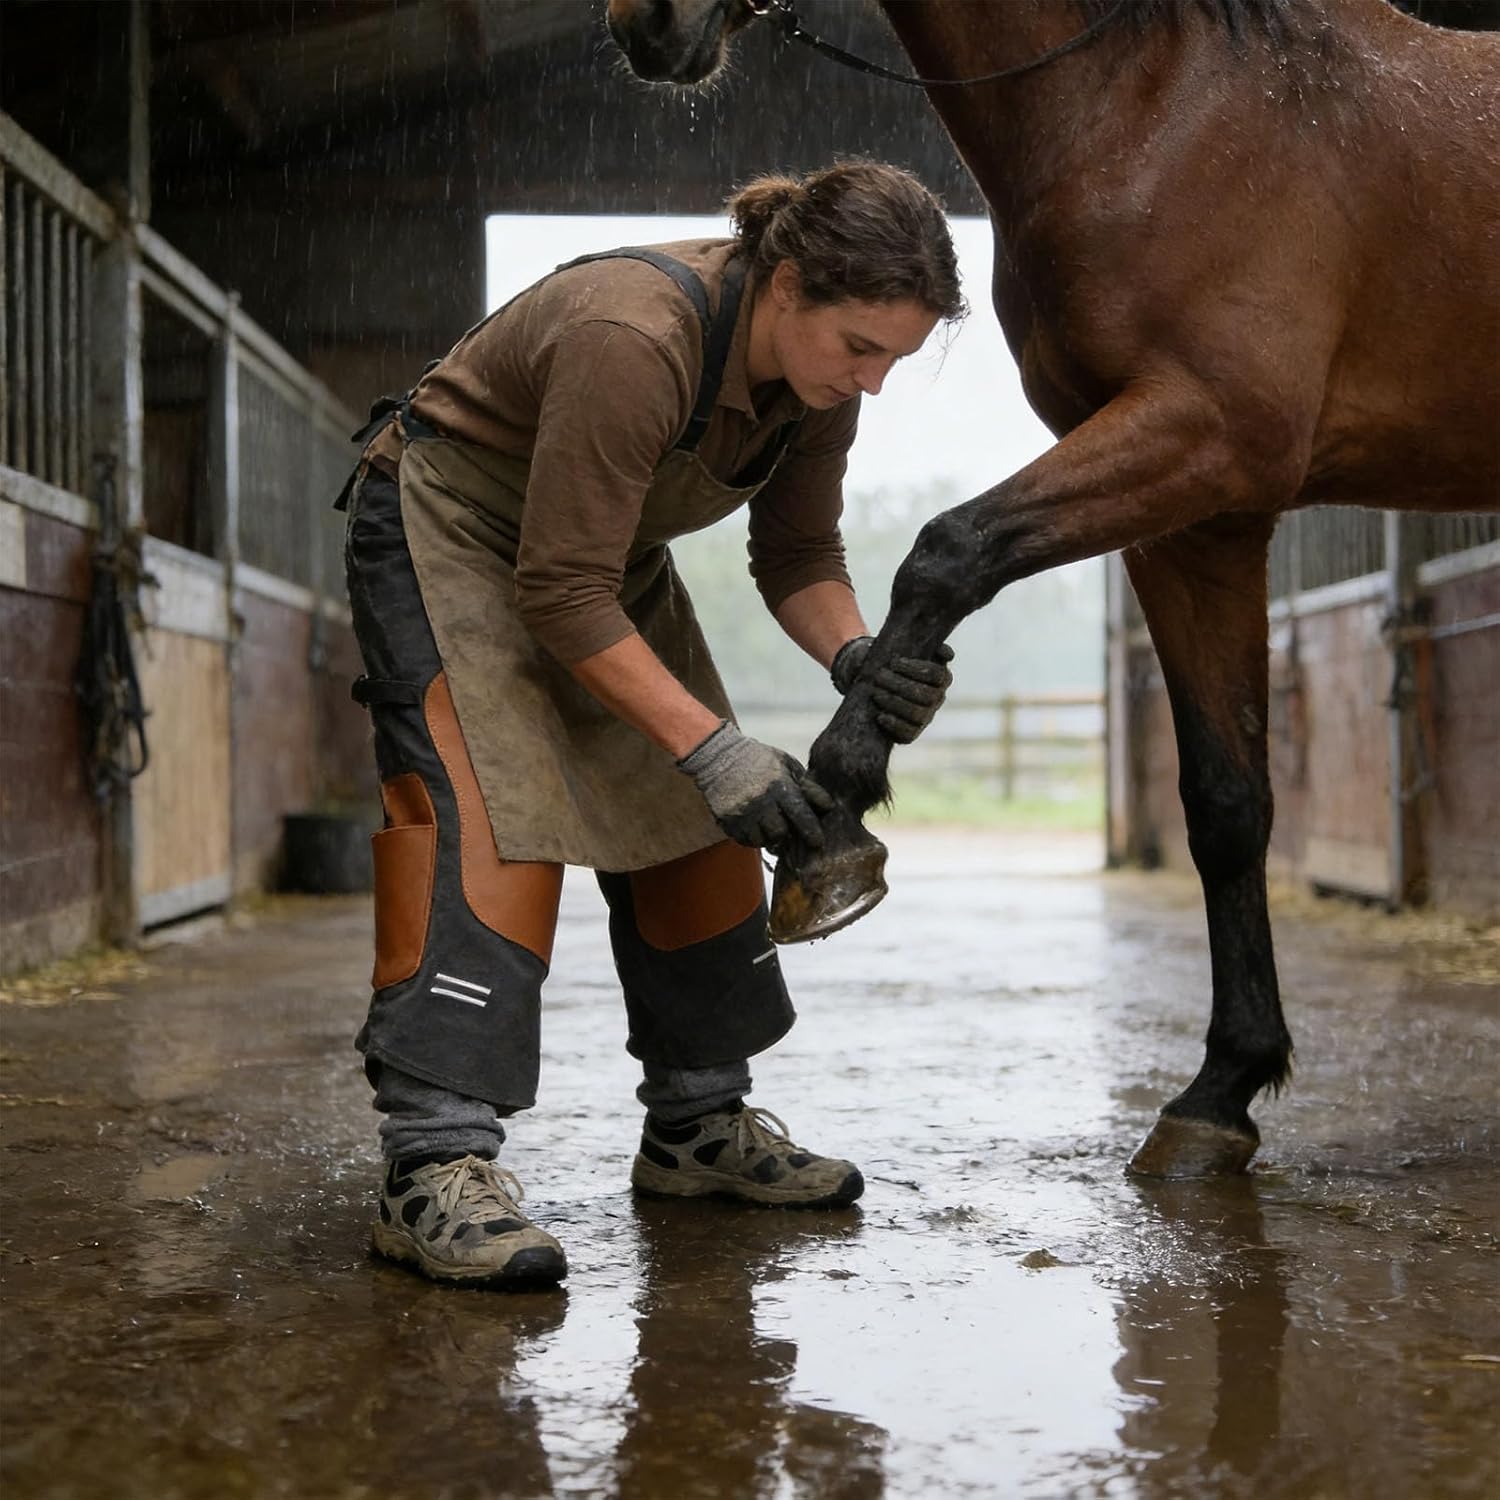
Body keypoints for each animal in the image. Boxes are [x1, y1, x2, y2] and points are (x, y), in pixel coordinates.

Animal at [604, 0, 1500, 1178]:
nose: (642, 25)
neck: (1161, 106)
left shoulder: (1205, 434)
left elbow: (947, 550)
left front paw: (835, 801)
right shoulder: (1198, 521)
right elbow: (1227, 803)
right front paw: (1221, 1090)